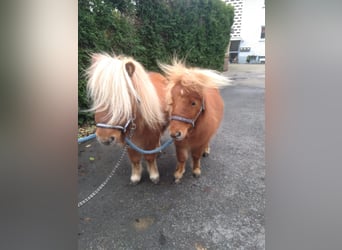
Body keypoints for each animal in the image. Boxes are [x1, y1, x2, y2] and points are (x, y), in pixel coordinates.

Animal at [86, 53, 169, 184]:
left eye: (125, 98)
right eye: (97, 97)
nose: (104, 138)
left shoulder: (151, 138)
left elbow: (150, 157)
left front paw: (154, 175)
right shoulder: (128, 141)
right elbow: (134, 159)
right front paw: (135, 176)